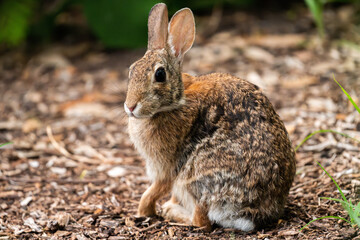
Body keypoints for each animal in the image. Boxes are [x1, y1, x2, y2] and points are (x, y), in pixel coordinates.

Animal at [124, 2, 296, 232]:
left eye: (159, 75)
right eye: (131, 70)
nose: (130, 106)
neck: (175, 101)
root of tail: (253, 212)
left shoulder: (166, 168)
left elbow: (155, 189)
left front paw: (144, 210)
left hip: (196, 178)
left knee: (202, 221)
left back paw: (171, 212)